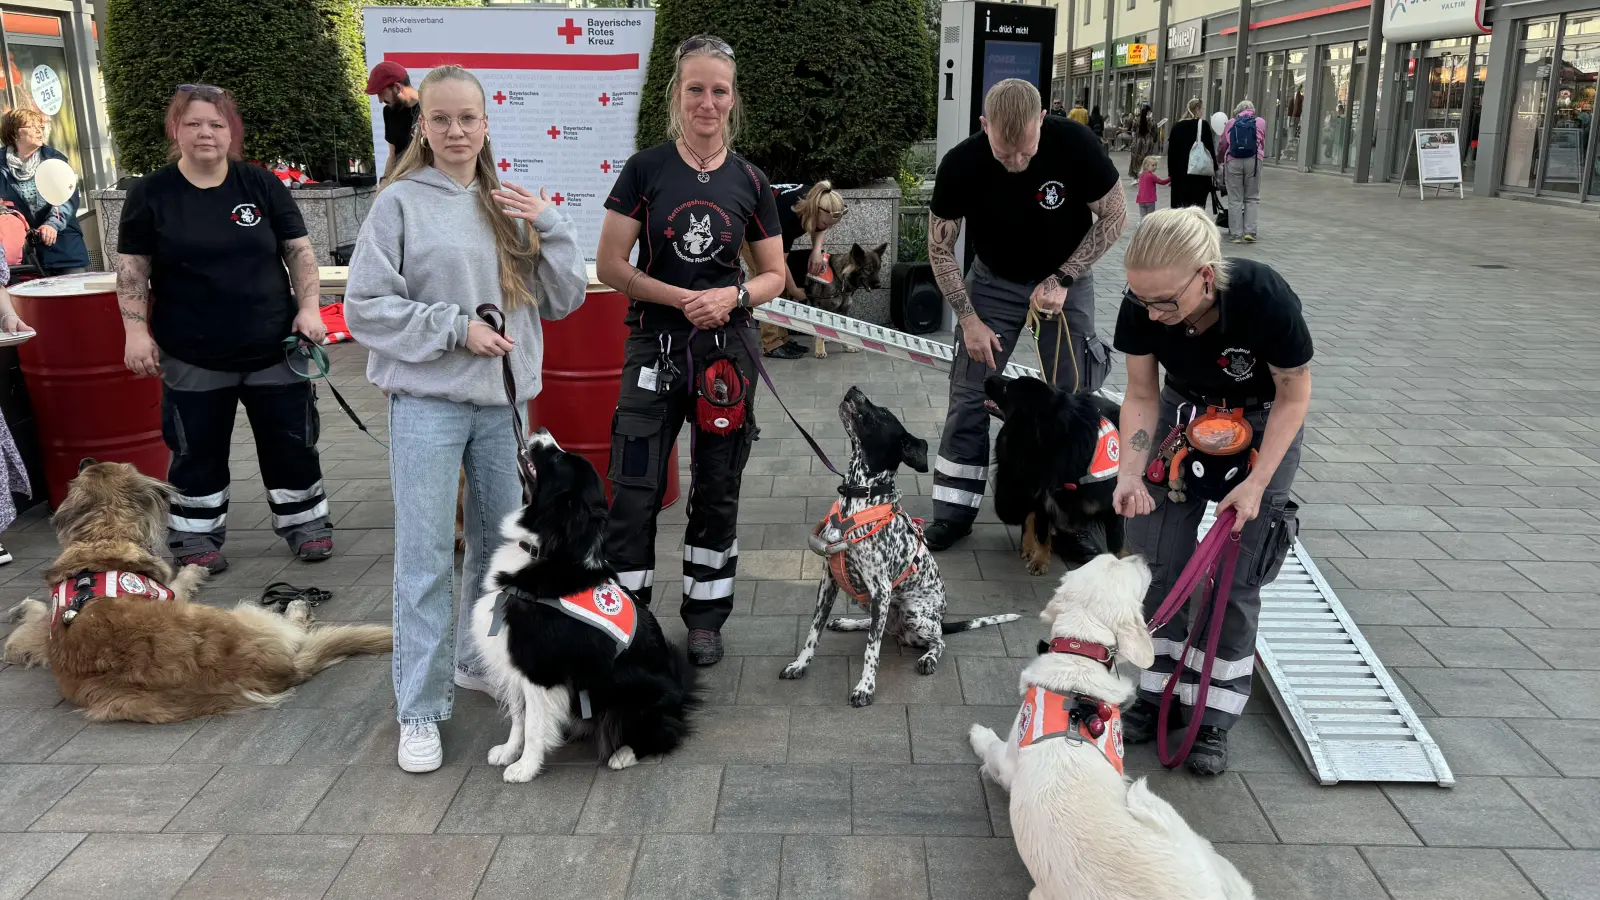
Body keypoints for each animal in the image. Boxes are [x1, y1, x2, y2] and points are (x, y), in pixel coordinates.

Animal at [4, 458, 392, 717]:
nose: (85, 458)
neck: (101, 538)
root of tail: (284, 669)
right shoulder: (170, 594)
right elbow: (182, 580)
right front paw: (195, 567)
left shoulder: (41, 638)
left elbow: (25, 628)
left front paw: (18, 609)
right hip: (237, 612)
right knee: (294, 626)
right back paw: (297, 605)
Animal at [780, 385, 1017, 707]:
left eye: (882, 413)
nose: (854, 388)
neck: (859, 498)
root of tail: (940, 619)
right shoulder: (828, 581)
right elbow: (812, 632)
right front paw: (800, 664)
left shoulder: (881, 588)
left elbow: (872, 650)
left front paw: (865, 687)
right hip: (879, 605)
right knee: (876, 626)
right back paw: (848, 623)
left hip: (912, 611)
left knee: (936, 641)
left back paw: (928, 657)